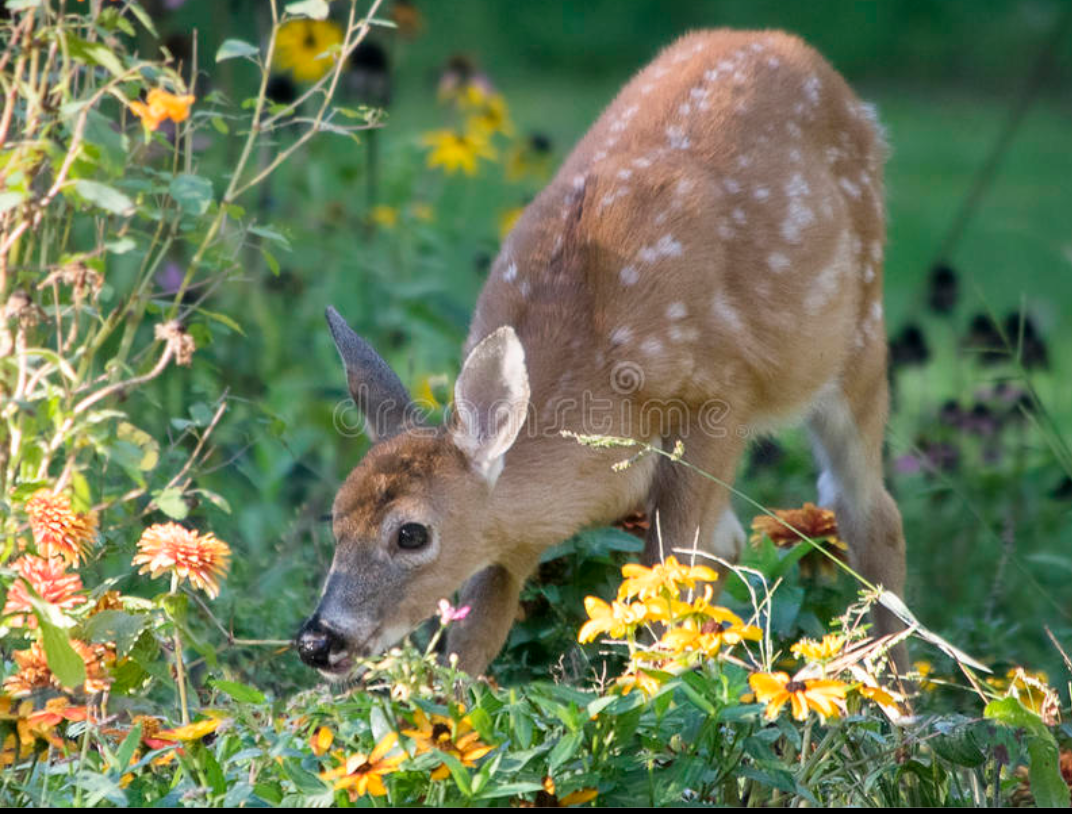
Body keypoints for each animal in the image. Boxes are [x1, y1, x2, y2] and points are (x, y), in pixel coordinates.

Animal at [296, 28, 908, 680]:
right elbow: (479, 630)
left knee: (870, 514)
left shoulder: (719, 399)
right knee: (740, 541)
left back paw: (900, 694)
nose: (317, 641)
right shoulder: (510, 532)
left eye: (411, 533)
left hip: (860, 336)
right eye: (335, 517)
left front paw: (651, 690)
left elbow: (667, 573)